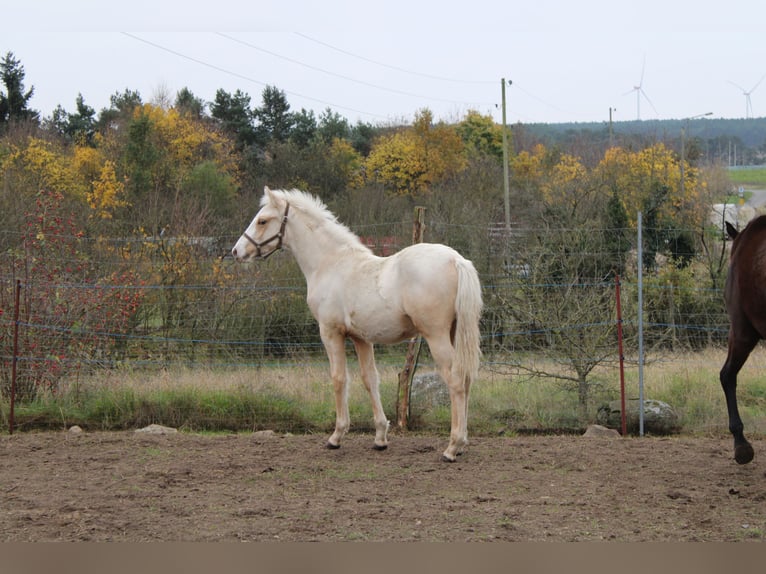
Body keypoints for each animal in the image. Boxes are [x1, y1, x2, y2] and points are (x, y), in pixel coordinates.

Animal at [234, 189, 484, 464]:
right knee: (466, 379)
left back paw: (452, 447)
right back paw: (461, 444)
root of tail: (456, 260)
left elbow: (339, 378)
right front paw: (380, 438)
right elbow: (369, 379)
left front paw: (336, 436)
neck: (331, 264)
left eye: (263, 221)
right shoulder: (361, 338)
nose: (236, 251)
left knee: (456, 380)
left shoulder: (331, 333)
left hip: (436, 336)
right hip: (454, 333)